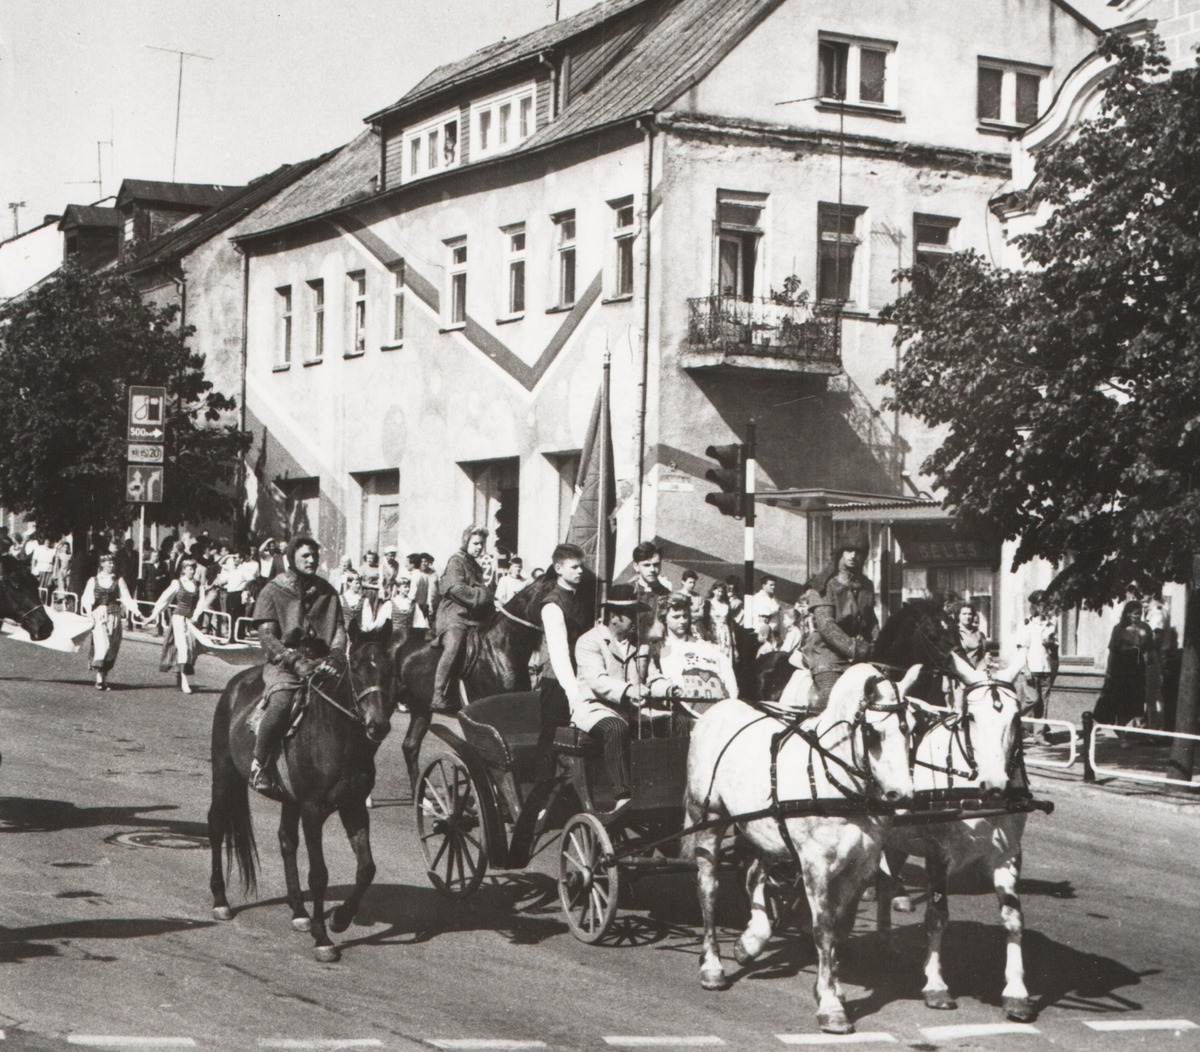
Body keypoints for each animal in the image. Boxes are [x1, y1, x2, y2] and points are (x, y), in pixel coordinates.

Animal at [206, 628, 393, 964]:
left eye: (390, 668)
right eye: (357, 667)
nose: (378, 724)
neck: (338, 736)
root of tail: (236, 684)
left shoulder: (353, 807)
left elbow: (366, 868)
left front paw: (340, 918)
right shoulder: (313, 809)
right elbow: (319, 874)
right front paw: (323, 939)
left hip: (289, 800)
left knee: (286, 840)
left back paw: (298, 911)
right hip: (224, 773)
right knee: (216, 824)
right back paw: (221, 900)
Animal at [686, 666, 916, 1036]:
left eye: (909, 729)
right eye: (874, 733)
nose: (902, 795)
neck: (834, 785)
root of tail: (716, 710)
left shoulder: (860, 867)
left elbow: (840, 926)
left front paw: (829, 986)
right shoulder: (815, 865)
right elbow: (823, 928)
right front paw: (831, 1007)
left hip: (760, 828)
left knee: (753, 874)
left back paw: (751, 941)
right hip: (708, 819)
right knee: (708, 888)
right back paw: (712, 966)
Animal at [878, 652, 1036, 1022]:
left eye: (1016, 716)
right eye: (971, 717)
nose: (995, 786)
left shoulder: (1008, 854)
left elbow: (1013, 918)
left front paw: (1016, 992)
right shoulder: (938, 852)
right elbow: (937, 917)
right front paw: (935, 985)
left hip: (896, 840)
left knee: (884, 884)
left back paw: (886, 945)